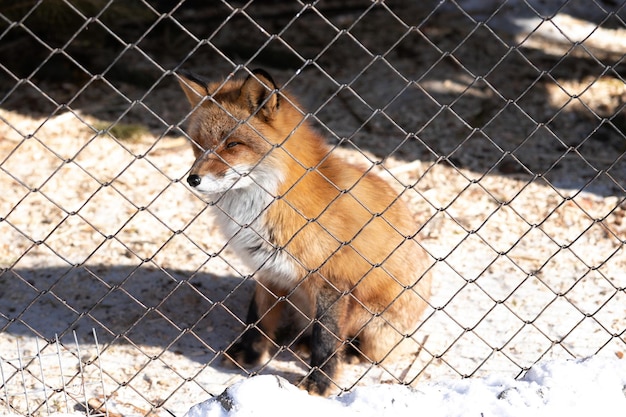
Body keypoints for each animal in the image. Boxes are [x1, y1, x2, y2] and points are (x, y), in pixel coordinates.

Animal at [176, 67, 428, 394]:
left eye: (232, 144)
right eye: (197, 144)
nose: (192, 179)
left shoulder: (332, 279)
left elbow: (326, 339)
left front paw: (319, 382)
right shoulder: (268, 271)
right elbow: (257, 319)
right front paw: (249, 354)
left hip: (375, 321)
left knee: (360, 346)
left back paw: (346, 352)